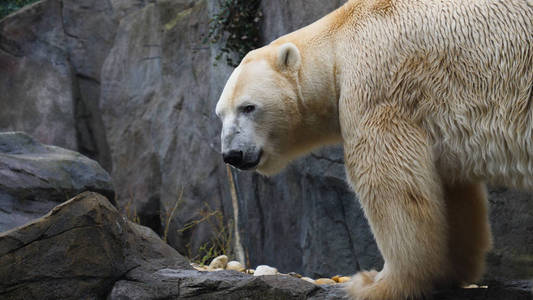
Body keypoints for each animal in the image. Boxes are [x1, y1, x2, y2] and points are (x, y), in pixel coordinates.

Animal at [214, 0, 528, 300]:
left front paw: (377, 283)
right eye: (220, 114)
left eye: (248, 107)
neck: (337, 44)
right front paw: (449, 272)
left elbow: (390, 181)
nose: (232, 155)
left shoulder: (378, 85)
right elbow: (451, 192)